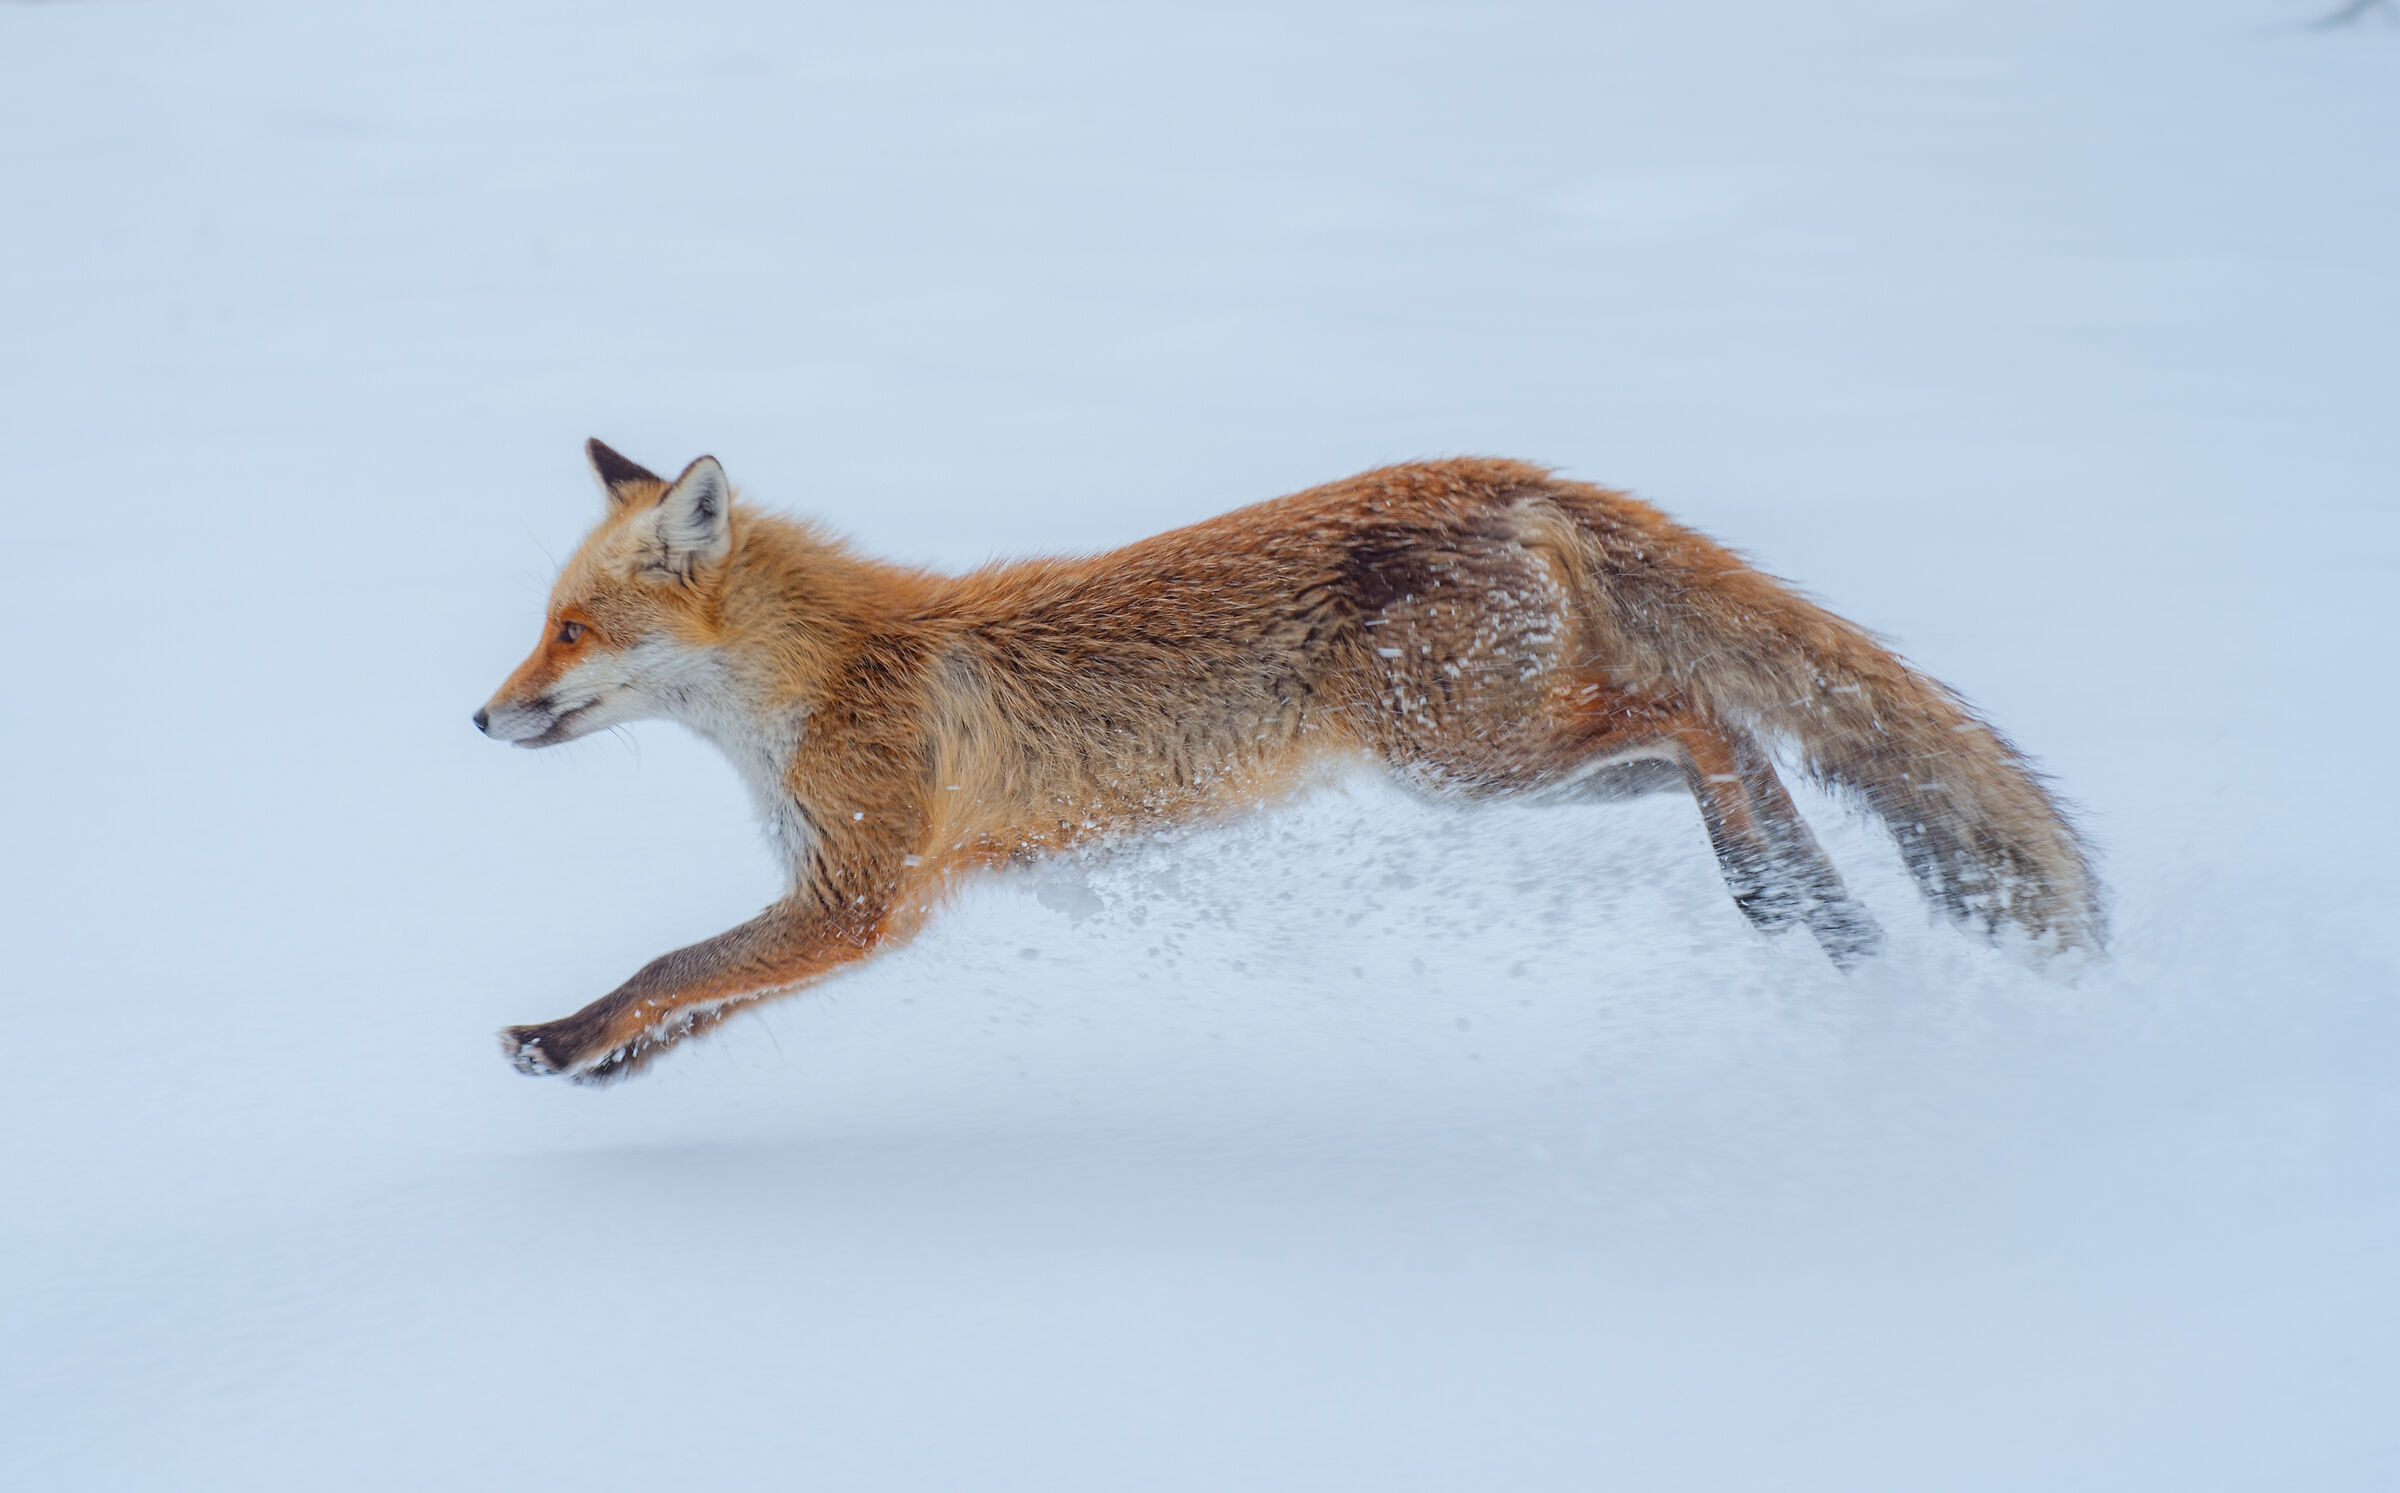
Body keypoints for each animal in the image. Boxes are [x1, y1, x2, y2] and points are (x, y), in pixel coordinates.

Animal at [476, 440, 2101, 1083]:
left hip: (1470, 757)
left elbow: (672, 968)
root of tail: (1504, 472)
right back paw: (1812, 907)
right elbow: (701, 1000)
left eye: (567, 630)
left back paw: (1783, 895)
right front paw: (593, 1067)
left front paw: (559, 1038)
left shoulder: (860, 896)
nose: (480, 722)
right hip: (1491, 762)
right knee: (1743, 737)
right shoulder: (858, 906)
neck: (827, 674)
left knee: (1706, 718)